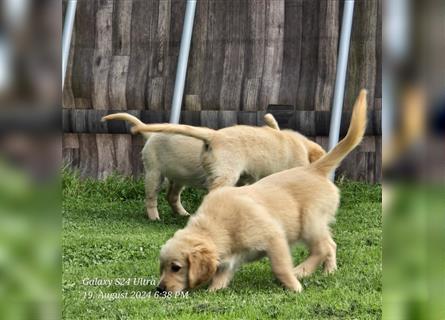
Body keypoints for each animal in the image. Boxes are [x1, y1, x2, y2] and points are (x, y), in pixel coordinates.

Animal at [101, 112, 280, 220]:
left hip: (179, 177)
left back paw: (183, 213)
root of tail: (151, 135)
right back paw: (154, 217)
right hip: (154, 173)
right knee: (151, 197)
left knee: (172, 196)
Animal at [154, 89, 366, 292]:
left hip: (310, 221)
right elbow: (221, 276)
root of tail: (314, 169)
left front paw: (294, 287)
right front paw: (213, 291)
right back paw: (328, 271)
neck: (220, 224)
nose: (160, 289)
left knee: (322, 248)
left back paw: (301, 271)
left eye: (176, 267)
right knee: (330, 245)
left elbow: (280, 267)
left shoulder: (274, 238)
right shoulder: (230, 260)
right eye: (162, 267)